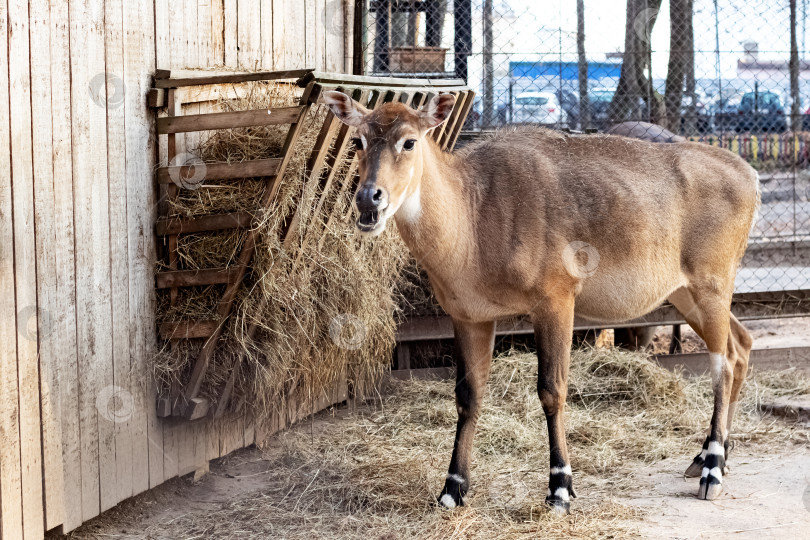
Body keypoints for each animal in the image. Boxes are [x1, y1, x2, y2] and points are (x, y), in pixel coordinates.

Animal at [322, 90, 756, 512]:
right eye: (358, 140)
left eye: (409, 141)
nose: (369, 199)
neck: (473, 217)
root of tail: (749, 175)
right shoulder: (469, 315)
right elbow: (467, 396)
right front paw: (452, 490)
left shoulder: (556, 300)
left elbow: (552, 390)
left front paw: (560, 488)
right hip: (686, 293)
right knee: (740, 345)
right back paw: (709, 458)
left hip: (712, 284)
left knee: (722, 363)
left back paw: (712, 470)